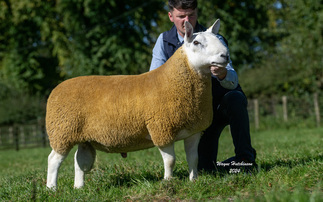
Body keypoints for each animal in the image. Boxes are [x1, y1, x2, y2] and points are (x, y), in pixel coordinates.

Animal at [46, 18, 230, 188]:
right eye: (197, 42)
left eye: (218, 38)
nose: (225, 56)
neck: (174, 80)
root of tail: (57, 89)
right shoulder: (161, 129)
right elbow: (170, 160)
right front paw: (168, 181)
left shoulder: (194, 131)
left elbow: (193, 158)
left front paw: (194, 181)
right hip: (62, 131)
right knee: (53, 160)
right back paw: (51, 188)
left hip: (82, 137)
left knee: (79, 162)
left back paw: (79, 187)